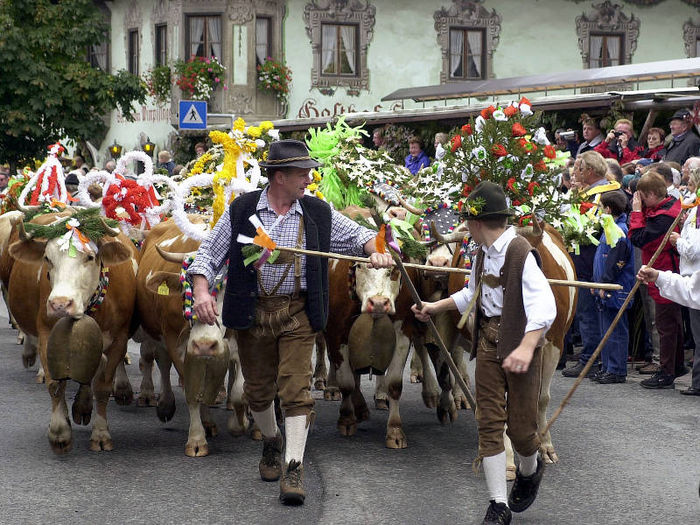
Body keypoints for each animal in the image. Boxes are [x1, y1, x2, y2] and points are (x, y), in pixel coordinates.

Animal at [6, 211, 138, 452]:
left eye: (90, 257)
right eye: (47, 258)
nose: (60, 304)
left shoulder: (118, 339)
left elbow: (102, 386)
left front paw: (101, 433)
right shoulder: (47, 335)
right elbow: (56, 384)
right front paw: (60, 431)